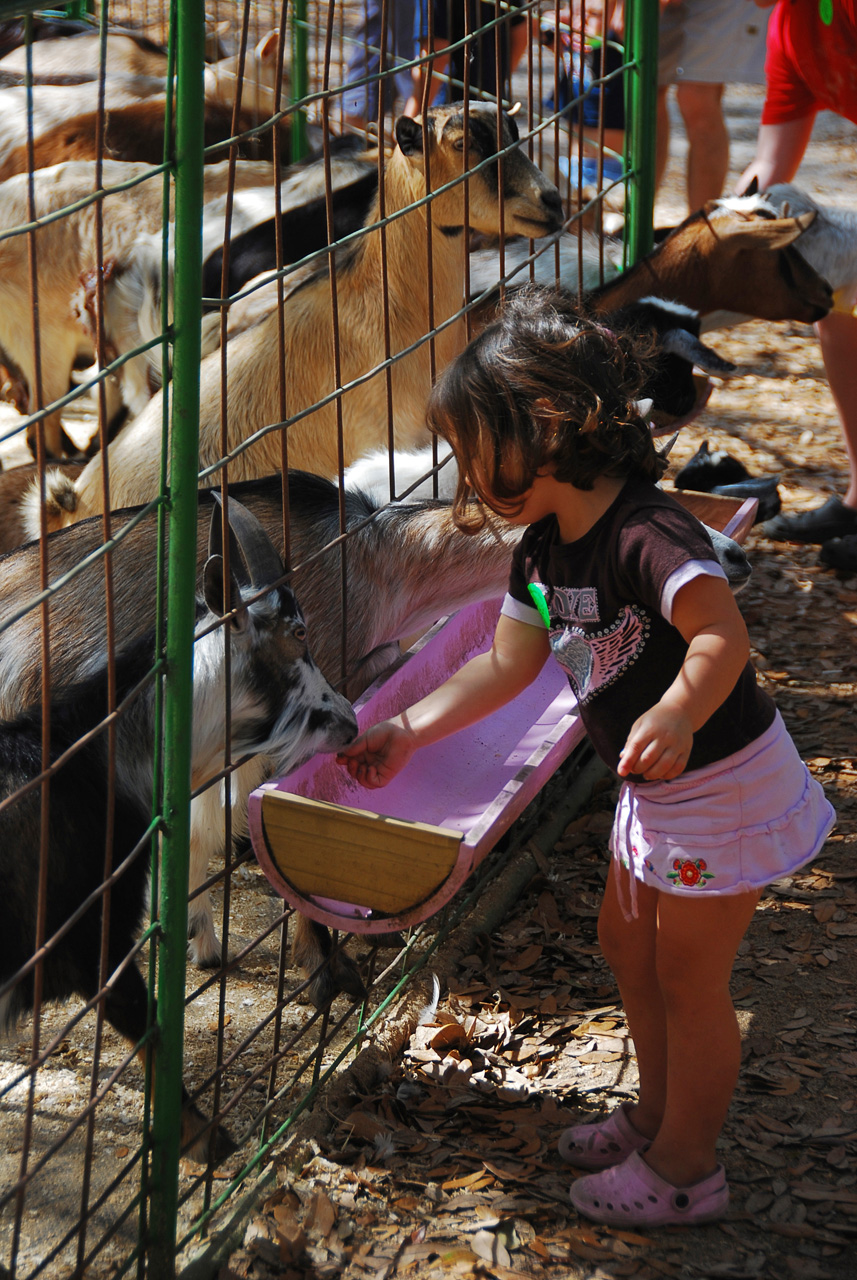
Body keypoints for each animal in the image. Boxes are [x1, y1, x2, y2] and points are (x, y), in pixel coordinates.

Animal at [0, 499, 358, 1162]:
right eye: (297, 635)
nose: (348, 719)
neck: (95, 753)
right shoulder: (93, 936)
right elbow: (150, 1029)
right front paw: (205, 1139)